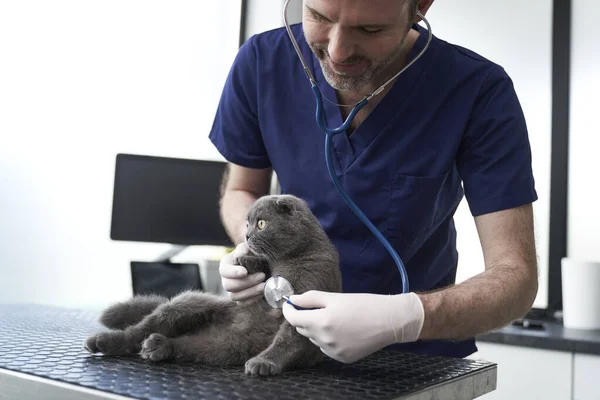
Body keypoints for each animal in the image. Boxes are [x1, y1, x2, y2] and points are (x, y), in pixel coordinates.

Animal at [86, 195, 344, 376]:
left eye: (261, 223)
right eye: (247, 223)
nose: (247, 236)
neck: (290, 258)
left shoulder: (307, 297)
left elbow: (287, 339)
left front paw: (263, 362)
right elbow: (263, 268)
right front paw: (245, 261)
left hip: (225, 346)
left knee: (186, 345)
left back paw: (157, 346)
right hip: (189, 302)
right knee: (139, 330)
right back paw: (103, 341)